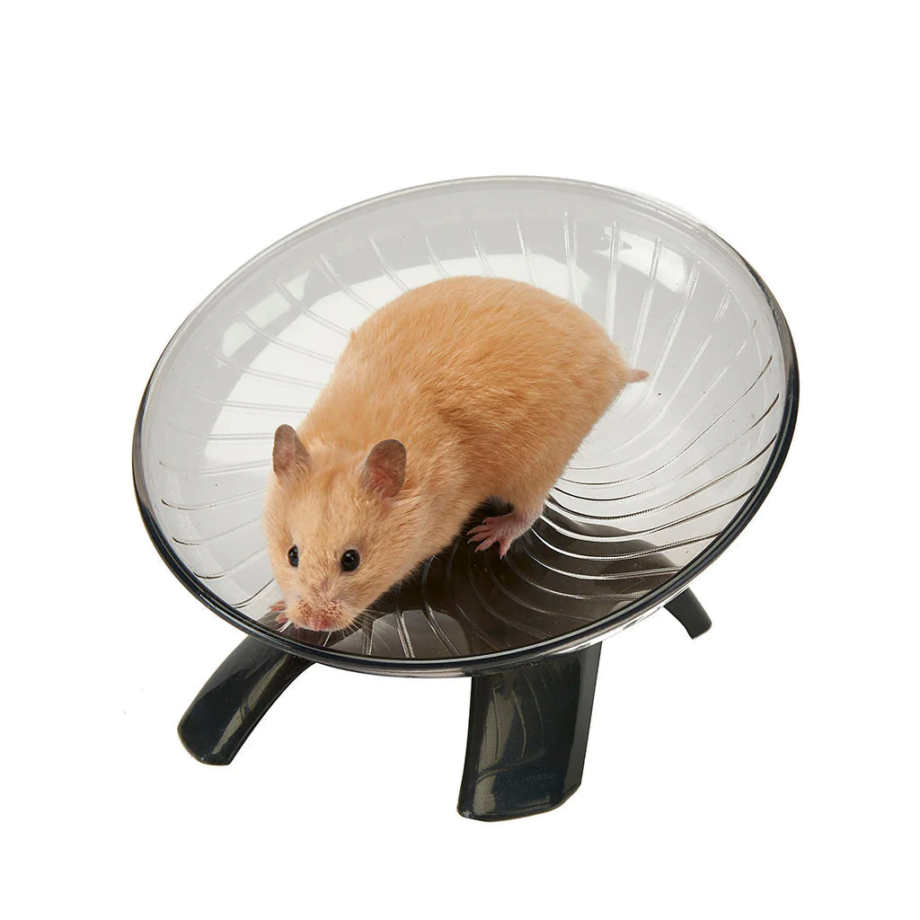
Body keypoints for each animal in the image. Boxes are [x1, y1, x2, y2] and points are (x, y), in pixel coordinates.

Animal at [264, 276, 647, 632]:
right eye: (292, 555)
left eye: (351, 560)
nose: (313, 624)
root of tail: (617, 365)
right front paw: (279, 612)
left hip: (540, 465)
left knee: (531, 512)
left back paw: (486, 536)